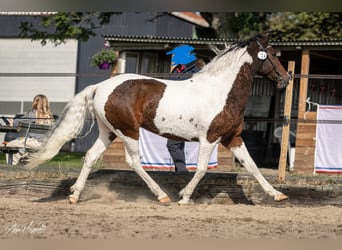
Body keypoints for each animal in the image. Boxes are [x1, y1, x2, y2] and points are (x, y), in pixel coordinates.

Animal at [24, 33, 292, 205]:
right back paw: (162, 196)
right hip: (128, 131)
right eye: (270, 54)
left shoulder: (233, 138)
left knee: (90, 156)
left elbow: (252, 166)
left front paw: (277, 195)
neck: (221, 91)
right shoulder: (209, 139)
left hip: (108, 131)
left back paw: (74, 195)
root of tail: (99, 87)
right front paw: (184, 197)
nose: (286, 78)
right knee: (133, 162)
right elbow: (201, 169)